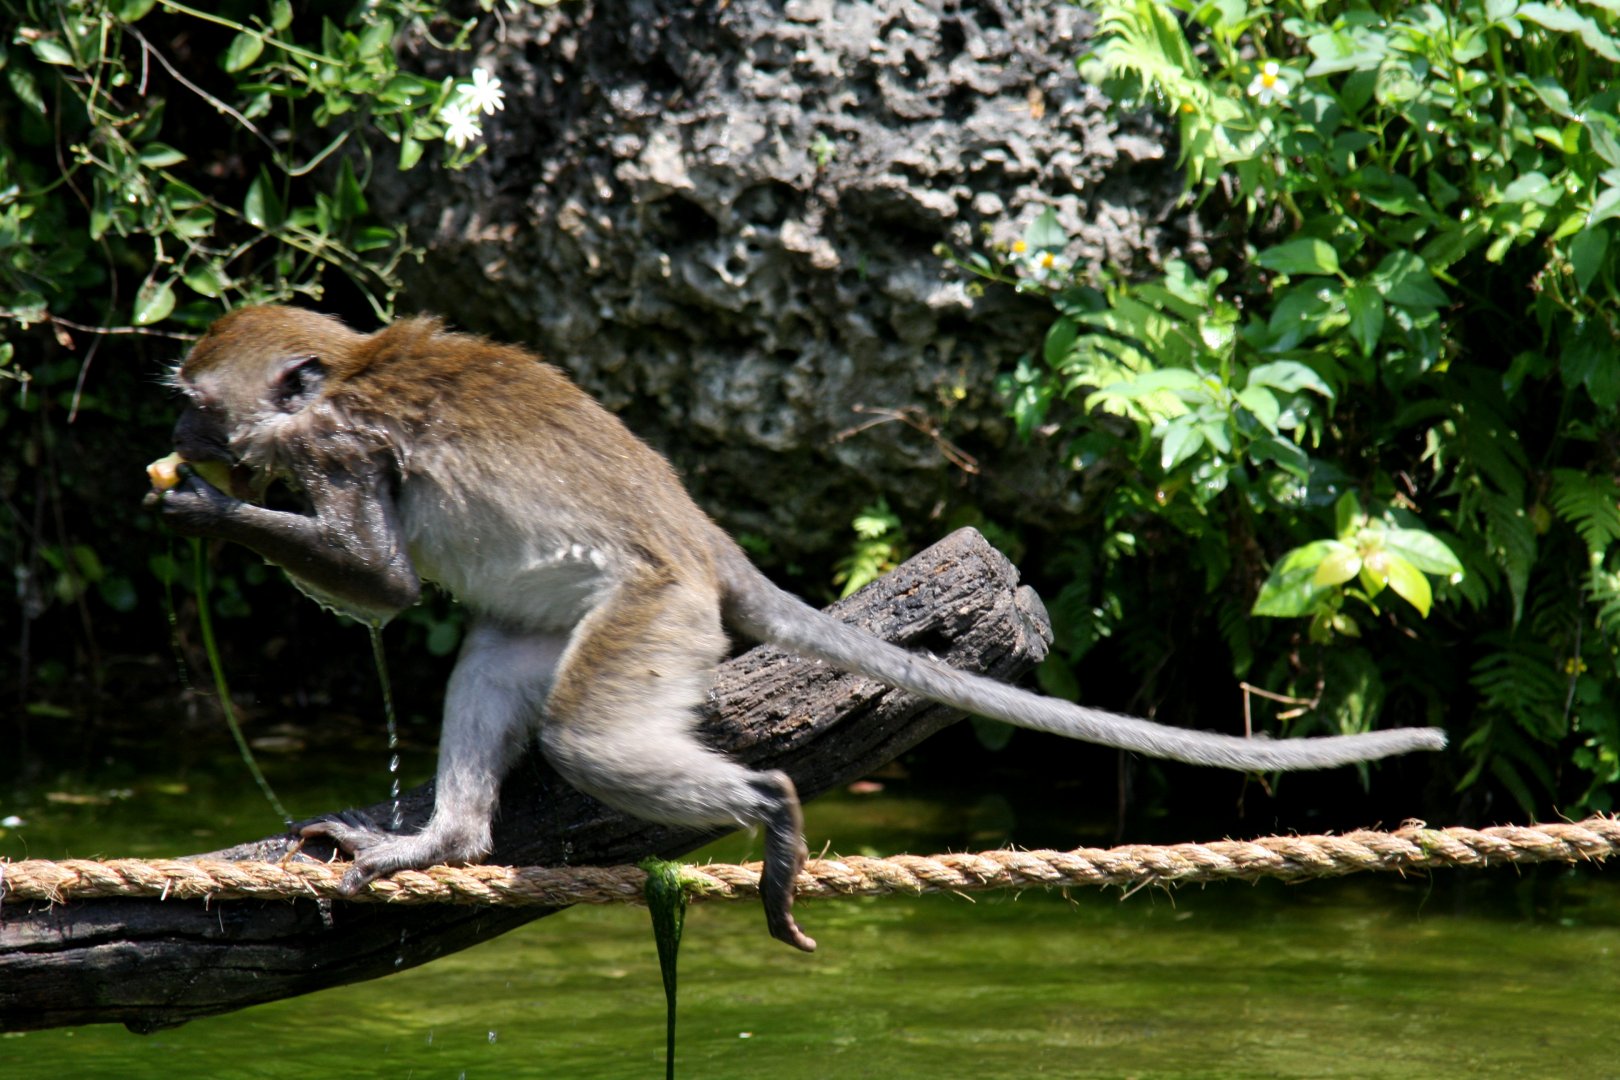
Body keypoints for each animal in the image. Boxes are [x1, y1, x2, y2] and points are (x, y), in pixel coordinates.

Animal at [146, 306, 1446, 952]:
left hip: (657, 610)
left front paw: (200, 509)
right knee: (499, 659)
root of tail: (706, 545)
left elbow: (383, 585)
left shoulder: (339, 447)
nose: (182, 434)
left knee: (584, 734)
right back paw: (447, 841)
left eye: (196, 405)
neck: (344, 373)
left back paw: (770, 812)